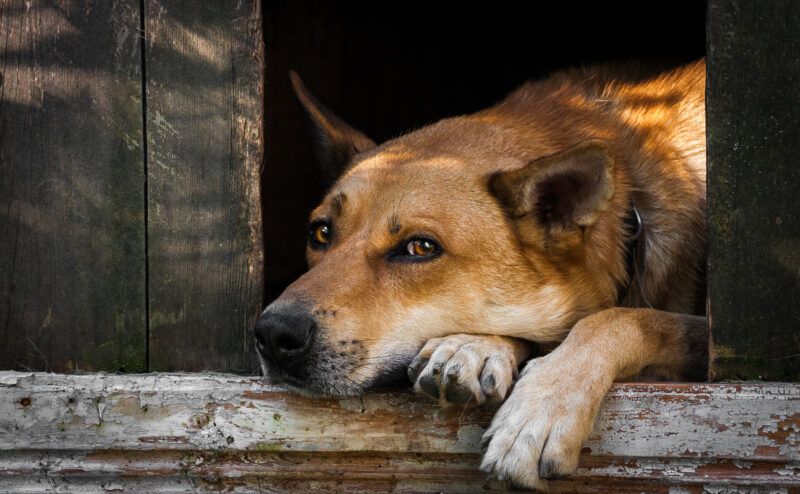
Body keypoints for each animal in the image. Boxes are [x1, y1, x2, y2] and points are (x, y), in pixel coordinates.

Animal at [255, 61, 708, 490]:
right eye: (320, 232)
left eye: (420, 248)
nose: (273, 334)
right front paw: (473, 346)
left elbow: (622, 319)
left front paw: (541, 409)